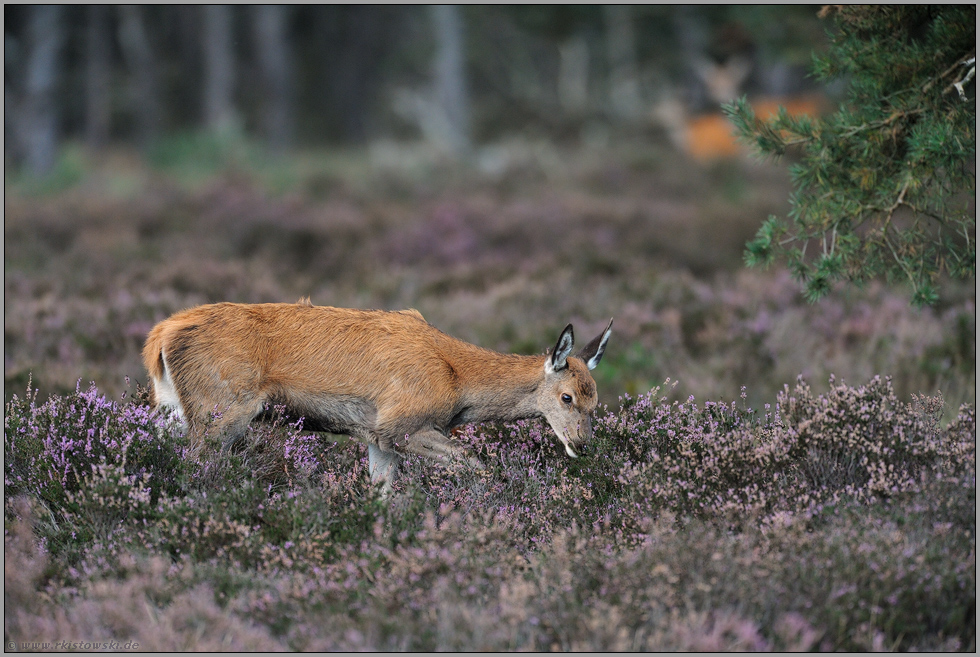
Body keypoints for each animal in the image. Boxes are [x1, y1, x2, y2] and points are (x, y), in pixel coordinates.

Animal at [144, 300, 612, 494]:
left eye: (595, 401)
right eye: (567, 397)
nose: (582, 444)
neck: (456, 382)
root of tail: (160, 337)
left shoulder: (375, 437)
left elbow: (382, 494)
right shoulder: (401, 424)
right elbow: (476, 465)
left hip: (172, 407)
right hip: (221, 408)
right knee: (194, 464)